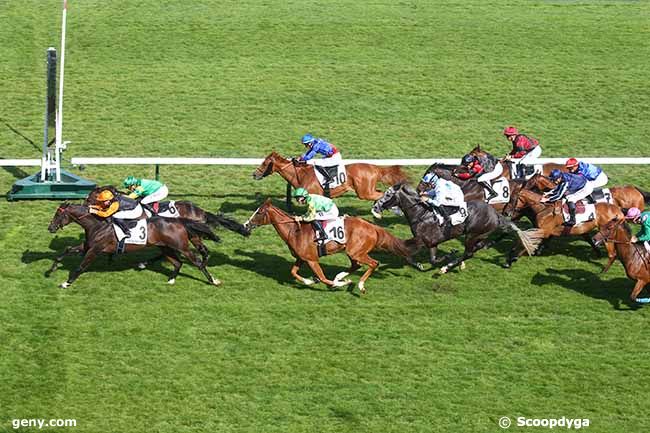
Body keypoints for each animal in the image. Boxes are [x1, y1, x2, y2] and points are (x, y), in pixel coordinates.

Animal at [46, 203, 221, 290]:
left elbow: (80, 267)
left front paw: (66, 283)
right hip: (165, 247)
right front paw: (51, 270)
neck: (97, 225)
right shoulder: (87, 246)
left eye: (58, 214)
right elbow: (66, 250)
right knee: (178, 263)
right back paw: (171, 279)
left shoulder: (95, 250)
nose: (50, 228)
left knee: (198, 263)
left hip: (181, 247)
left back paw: (213, 280)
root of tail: (179, 221)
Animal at [240, 199, 418, 294]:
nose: (246, 224)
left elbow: (324, 278)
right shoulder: (301, 258)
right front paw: (310, 281)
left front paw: (338, 284)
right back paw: (340, 276)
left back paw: (358, 285)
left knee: (373, 263)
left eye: (259, 212)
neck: (294, 230)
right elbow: (293, 272)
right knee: (356, 265)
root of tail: (373, 227)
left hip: (356, 252)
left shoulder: (312, 260)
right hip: (352, 252)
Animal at [252, 151, 404, 200]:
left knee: (382, 195)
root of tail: (375, 168)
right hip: (368, 190)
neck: (300, 174)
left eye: (265, 163)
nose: (254, 174)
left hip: (364, 192)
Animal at [368, 183, 540, 272]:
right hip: (480, 235)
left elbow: (424, 258)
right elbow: (424, 259)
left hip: (472, 234)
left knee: (469, 252)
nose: (376, 206)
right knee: (477, 248)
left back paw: (448, 267)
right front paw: (422, 264)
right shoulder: (431, 243)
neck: (421, 214)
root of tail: (496, 215)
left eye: (388, 195)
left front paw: (448, 256)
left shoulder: (424, 240)